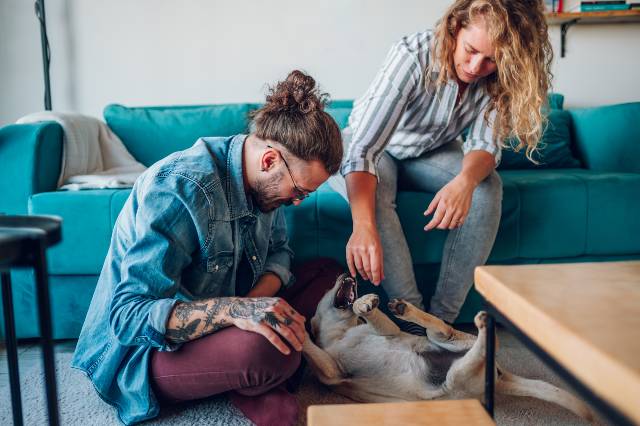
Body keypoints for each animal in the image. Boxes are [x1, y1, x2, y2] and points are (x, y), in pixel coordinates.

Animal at [302, 274, 596, 422]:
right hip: (456, 379)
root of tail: (501, 376)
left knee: (442, 329)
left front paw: (364, 303)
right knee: (470, 345)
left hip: (446, 349)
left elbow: (374, 318)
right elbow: (312, 349)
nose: (346, 273)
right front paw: (295, 329)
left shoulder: (387, 332)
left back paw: (406, 309)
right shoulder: (332, 371)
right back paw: (483, 324)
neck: (343, 331)